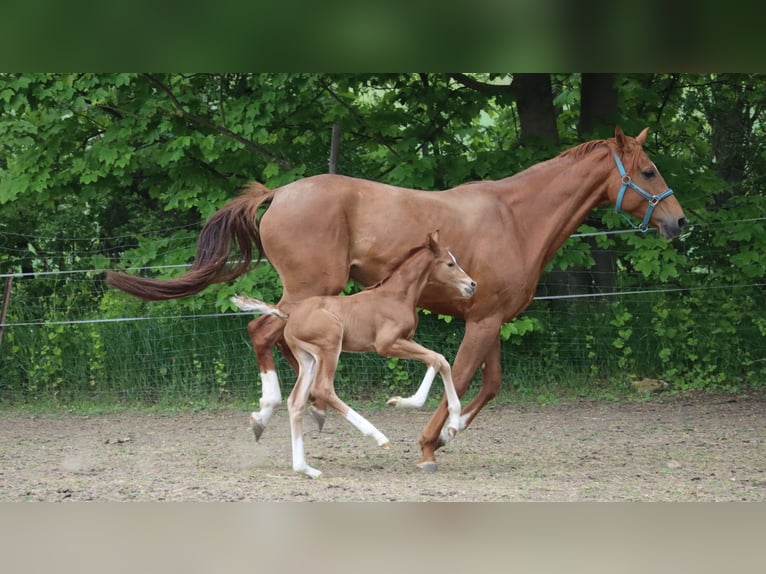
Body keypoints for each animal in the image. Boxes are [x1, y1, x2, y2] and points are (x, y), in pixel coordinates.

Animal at [230, 230, 477, 477]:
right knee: (323, 389)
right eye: (450, 264)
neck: (397, 295)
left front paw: (453, 424)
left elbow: (442, 361)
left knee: (296, 402)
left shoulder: (406, 340)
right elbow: (437, 359)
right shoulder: (387, 344)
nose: (472, 284)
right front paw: (399, 402)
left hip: (309, 359)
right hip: (331, 344)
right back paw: (378, 437)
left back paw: (306, 468)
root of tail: (288, 315)